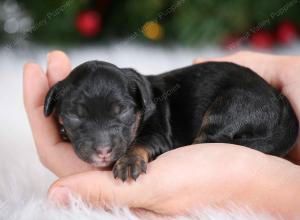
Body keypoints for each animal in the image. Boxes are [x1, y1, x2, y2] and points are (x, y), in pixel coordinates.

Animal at [44, 61, 298, 181]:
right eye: (75, 116)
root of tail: (280, 103)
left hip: (232, 104)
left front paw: (129, 162)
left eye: (122, 111)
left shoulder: (157, 134)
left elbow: (140, 143)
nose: (103, 151)